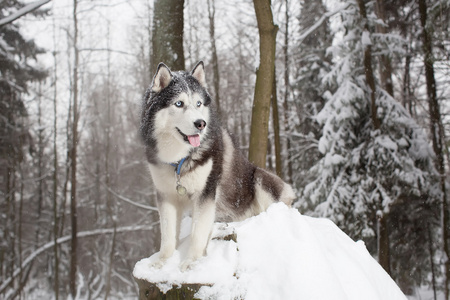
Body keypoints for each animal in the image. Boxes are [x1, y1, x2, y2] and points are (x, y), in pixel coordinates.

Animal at [141, 62, 296, 270]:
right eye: (179, 103)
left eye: (199, 103)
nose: (201, 124)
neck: (179, 159)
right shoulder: (166, 196)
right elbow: (167, 235)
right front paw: (162, 261)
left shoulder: (205, 193)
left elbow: (198, 233)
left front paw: (191, 262)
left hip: (260, 177)